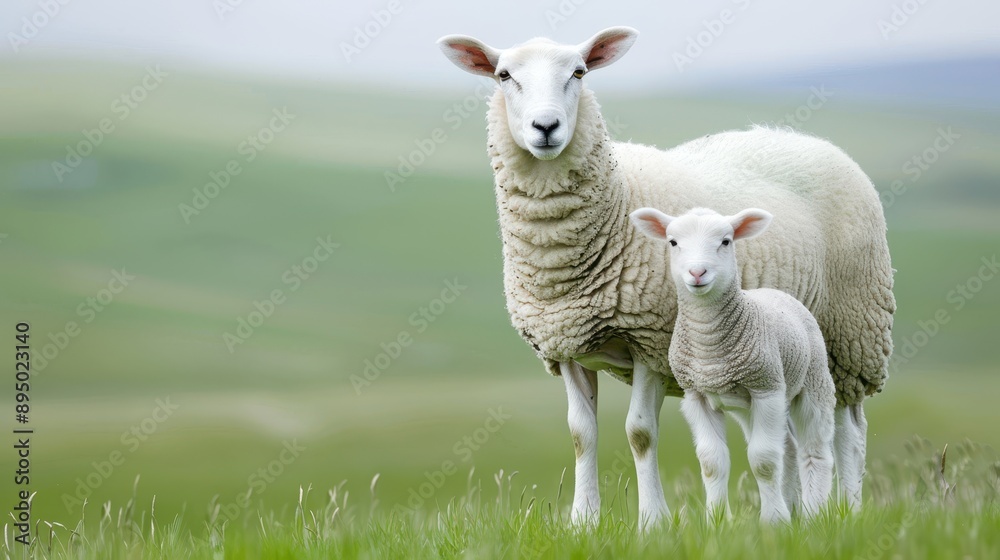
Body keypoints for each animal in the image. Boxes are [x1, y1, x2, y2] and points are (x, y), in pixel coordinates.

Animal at [630, 206, 836, 522]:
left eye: (726, 241)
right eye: (673, 242)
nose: (697, 272)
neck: (710, 347)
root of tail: (775, 291)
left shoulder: (767, 388)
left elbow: (763, 461)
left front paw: (773, 522)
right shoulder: (697, 396)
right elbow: (712, 462)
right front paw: (717, 520)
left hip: (812, 383)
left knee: (814, 450)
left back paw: (814, 516)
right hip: (747, 407)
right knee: (788, 449)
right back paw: (792, 508)